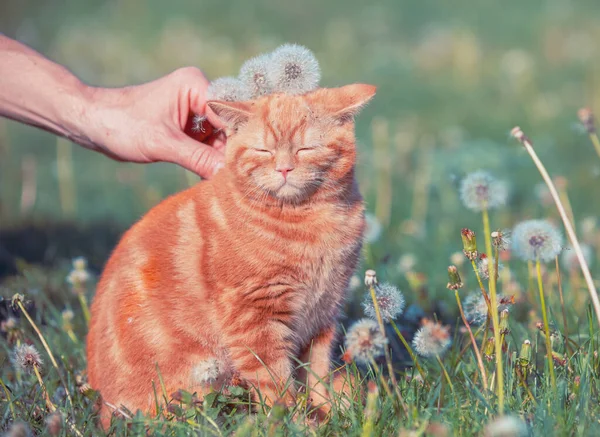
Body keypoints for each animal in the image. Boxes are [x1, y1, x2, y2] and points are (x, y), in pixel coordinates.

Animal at [85, 82, 376, 426]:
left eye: (306, 149)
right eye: (263, 151)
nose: (285, 168)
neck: (310, 222)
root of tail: (102, 410)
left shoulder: (323, 314)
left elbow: (316, 375)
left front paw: (326, 413)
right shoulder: (254, 320)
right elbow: (276, 385)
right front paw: (295, 423)